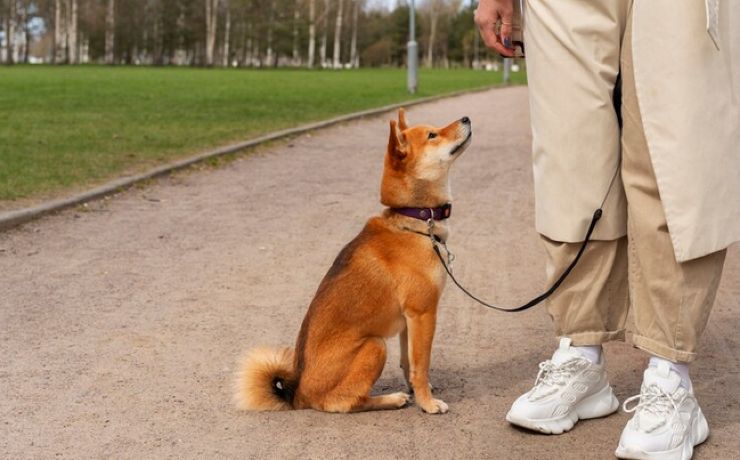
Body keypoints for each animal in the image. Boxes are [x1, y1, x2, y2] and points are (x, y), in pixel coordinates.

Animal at [234, 109, 472, 416]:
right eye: (433, 135)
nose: (466, 118)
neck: (414, 221)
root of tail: (298, 395)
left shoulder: (408, 321)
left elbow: (409, 363)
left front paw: (418, 392)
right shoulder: (423, 313)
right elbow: (421, 366)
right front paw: (427, 403)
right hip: (375, 345)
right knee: (346, 401)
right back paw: (390, 400)